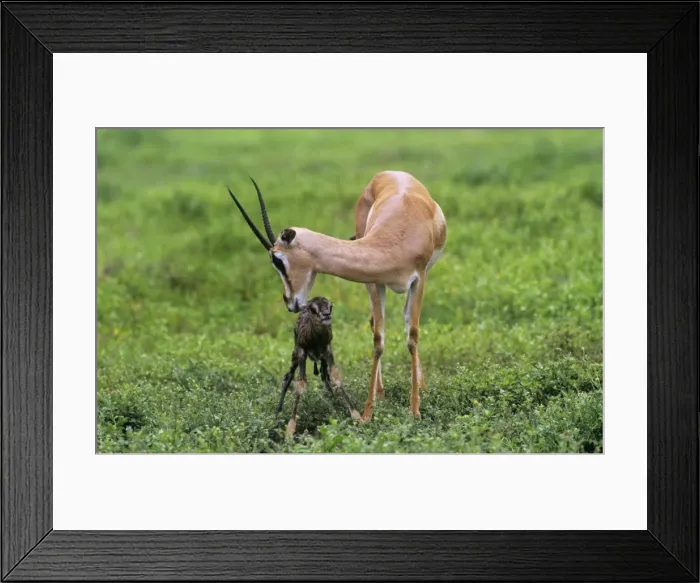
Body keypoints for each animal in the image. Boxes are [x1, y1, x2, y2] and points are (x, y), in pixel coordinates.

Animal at [227, 170, 447, 421]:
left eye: (277, 260)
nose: (289, 301)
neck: (395, 240)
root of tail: (388, 173)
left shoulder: (419, 279)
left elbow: (412, 335)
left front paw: (415, 410)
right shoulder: (376, 281)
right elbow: (378, 339)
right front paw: (368, 412)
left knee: (408, 322)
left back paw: (421, 387)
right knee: (375, 323)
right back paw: (381, 392)